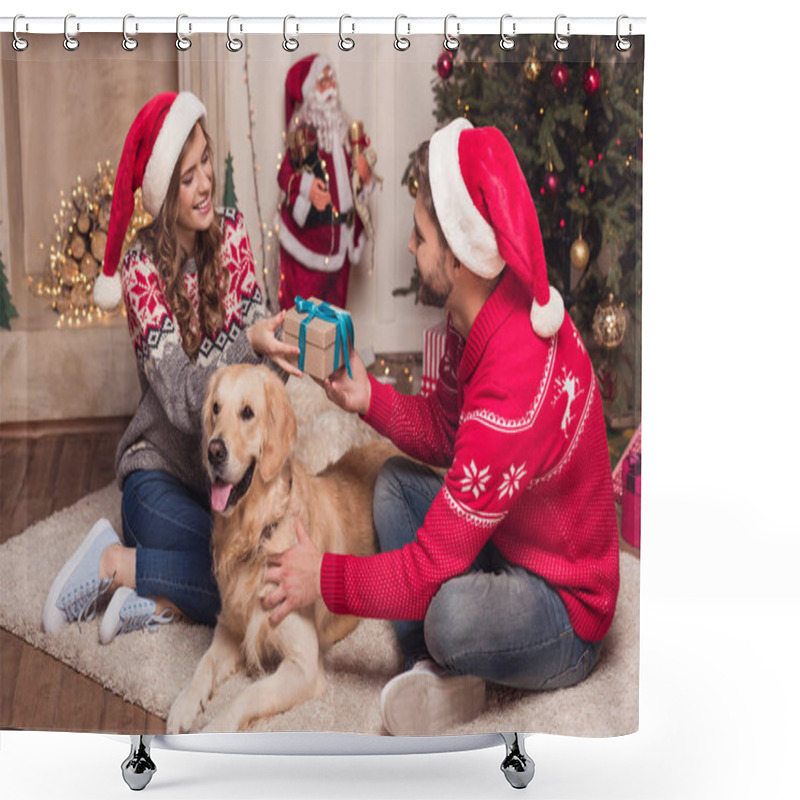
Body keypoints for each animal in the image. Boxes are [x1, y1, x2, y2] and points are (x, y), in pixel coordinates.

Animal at [166, 366, 396, 736]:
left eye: (247, 412)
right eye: (215, 409)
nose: (214, 451)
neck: (257, 533)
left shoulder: (303, 666)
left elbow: (247, 695)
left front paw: (213, 728)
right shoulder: (230, 628)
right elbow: (204, 665)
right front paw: (185, 705)